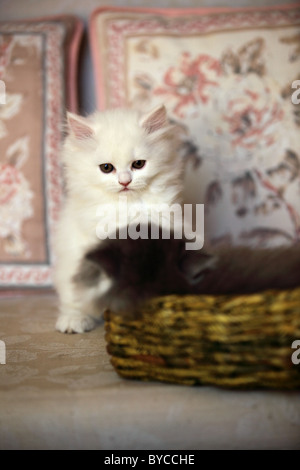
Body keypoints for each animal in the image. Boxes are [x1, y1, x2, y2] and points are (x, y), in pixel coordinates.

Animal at [53, 105, 183, 334]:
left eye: (138, 164)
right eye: (106, 168)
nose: (124, 182)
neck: (126, 207)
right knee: (74, 298)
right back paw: (74, 320)